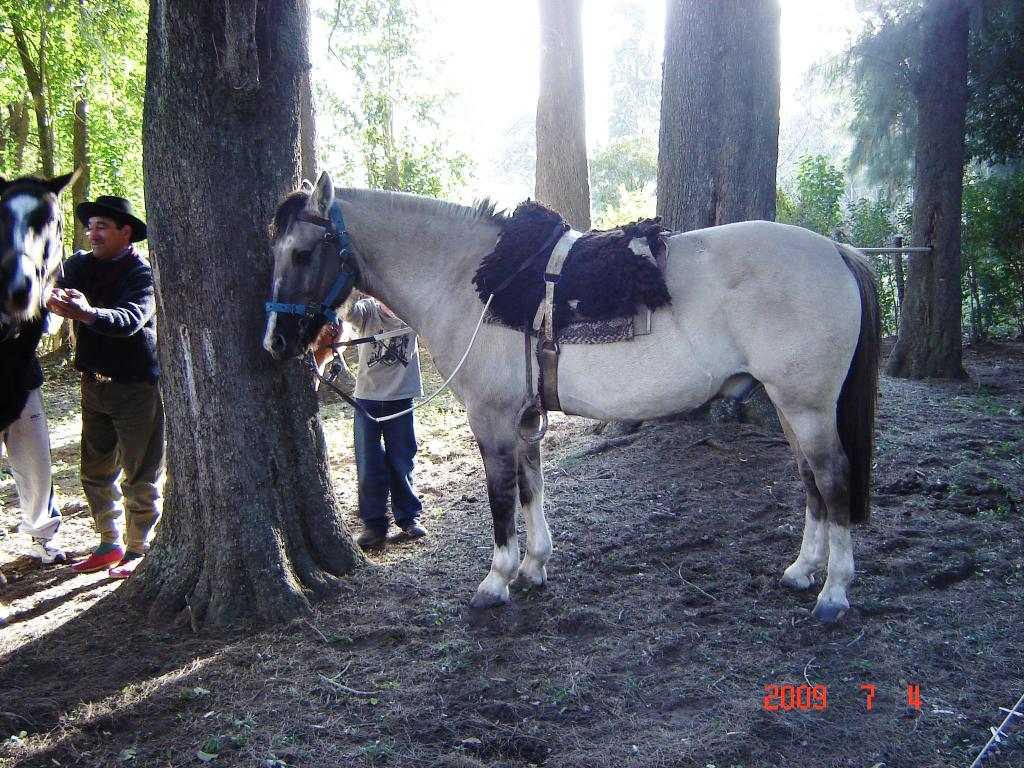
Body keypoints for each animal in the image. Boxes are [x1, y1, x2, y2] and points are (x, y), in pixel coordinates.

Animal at [264, 171, 880, 622]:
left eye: (302, 253)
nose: (275, 341)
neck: (470, 281)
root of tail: (837, 251)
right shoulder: (524, 418)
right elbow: (532, 488)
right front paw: (534, 567)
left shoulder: (491, 419)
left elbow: (501, 498)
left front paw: (497, 578)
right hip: (789, 405)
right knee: (810, 481)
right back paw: (803, 569)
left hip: (806, 405)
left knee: (832, 478)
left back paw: (834, 591)